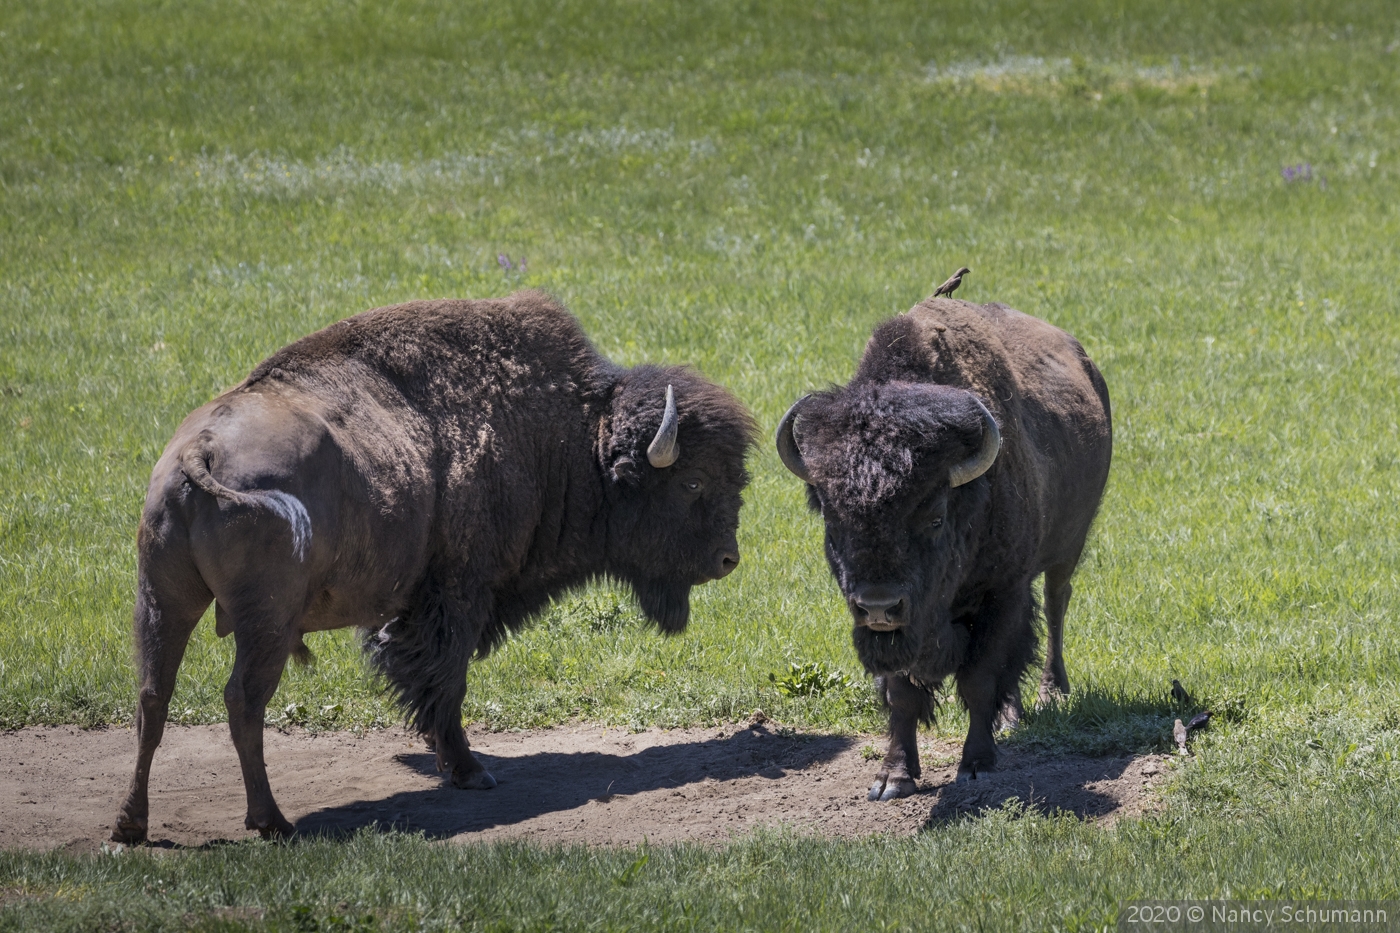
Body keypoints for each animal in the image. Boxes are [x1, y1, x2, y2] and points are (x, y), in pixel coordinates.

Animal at [114, 292, 761, 840]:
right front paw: (471, 771)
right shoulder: (460, 595)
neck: (572, 436)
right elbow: (446, 681)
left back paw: (131, 826)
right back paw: (271, 821)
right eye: (693, 481)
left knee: (152, 697)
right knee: (243, 702)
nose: (728, 559)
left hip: (163, 600)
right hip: (264, 623)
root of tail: (199, 450)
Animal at [772, 298, 1108, 801]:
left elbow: (980, 680)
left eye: (934, 517)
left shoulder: (1002, 593)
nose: (878, 605)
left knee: (1054, 605)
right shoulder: (899, 632)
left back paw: (1051, 691)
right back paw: (1011, 717)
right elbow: (903, 695)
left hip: (1067, 547)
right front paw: (893, 778)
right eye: (833, 521)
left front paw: (976, 766)